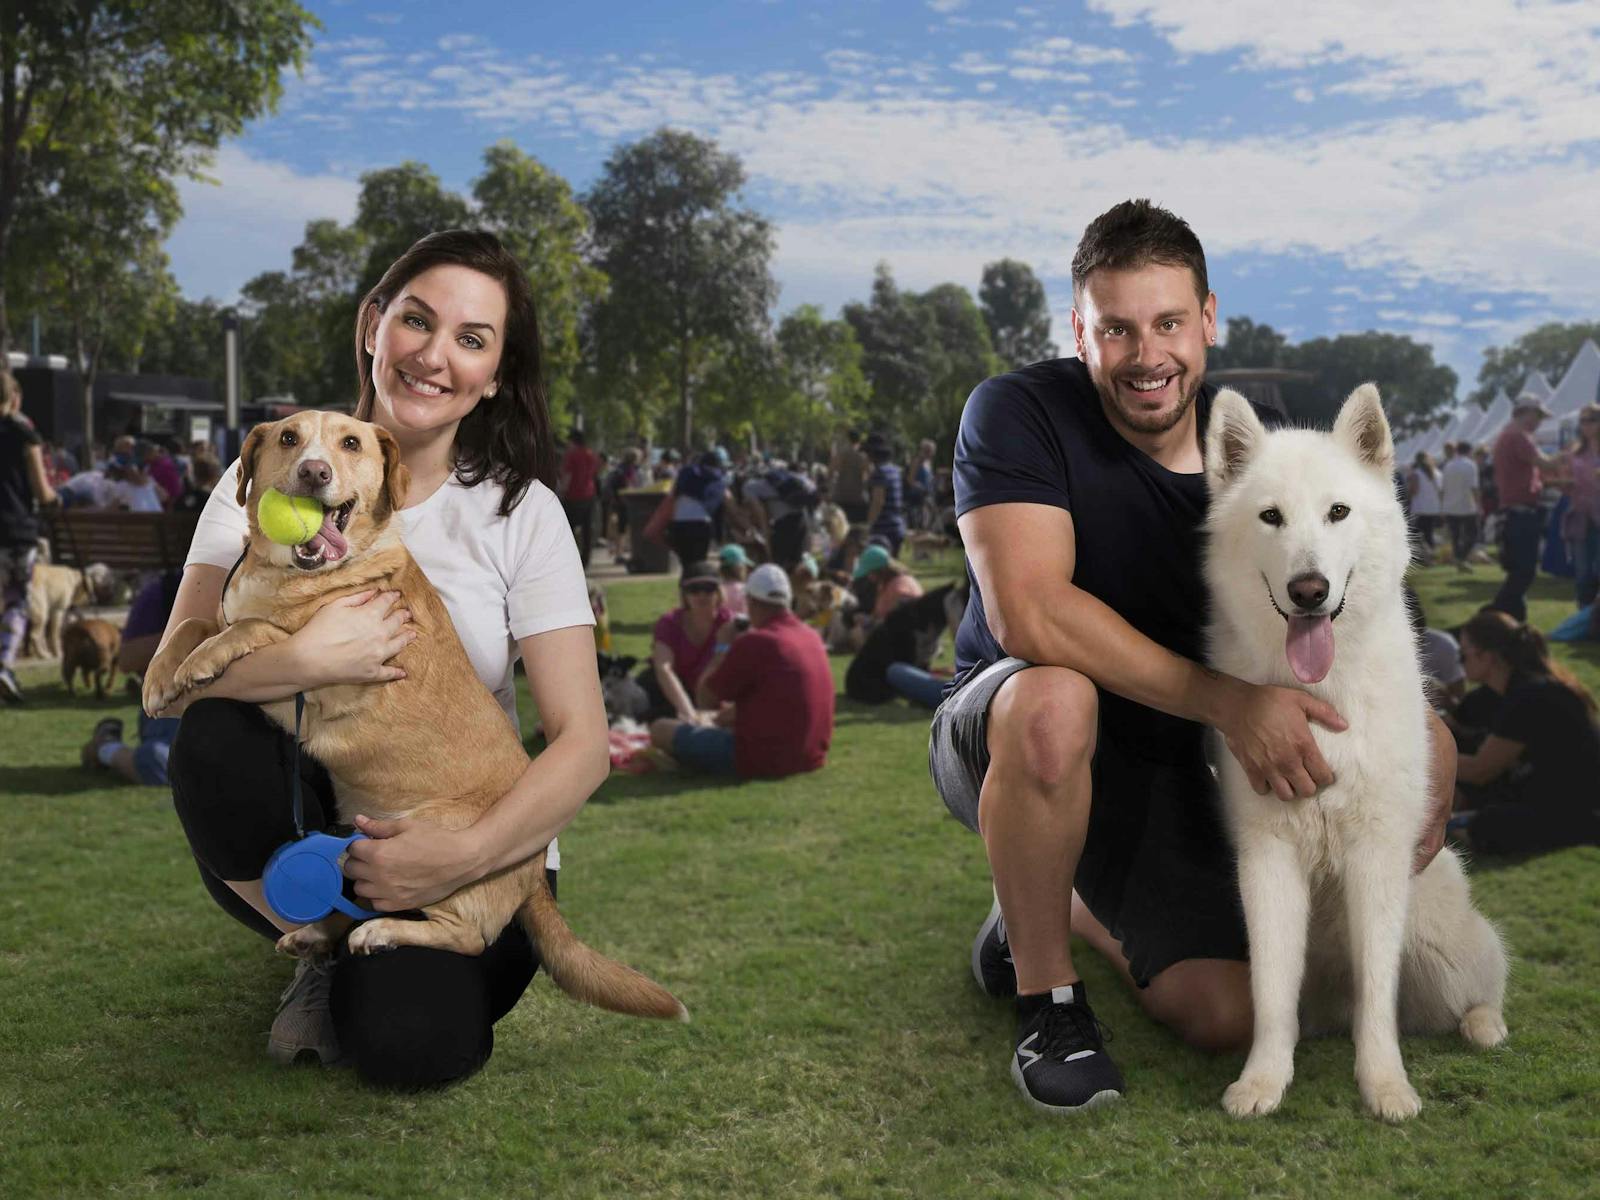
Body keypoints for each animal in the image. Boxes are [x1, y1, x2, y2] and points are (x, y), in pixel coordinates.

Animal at [1203, 387, 1504, 1126]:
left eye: (1338, 512)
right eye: (1271, 517)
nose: (1309, 589)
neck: (1323, 698)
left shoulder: (1376, 857)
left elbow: (1377, 996)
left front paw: (1385, 1087)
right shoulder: (1268, 859)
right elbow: (1271, 992)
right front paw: (1262, 1081)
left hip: (1439, 944)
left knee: (1479, 985)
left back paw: (1485, 1024)